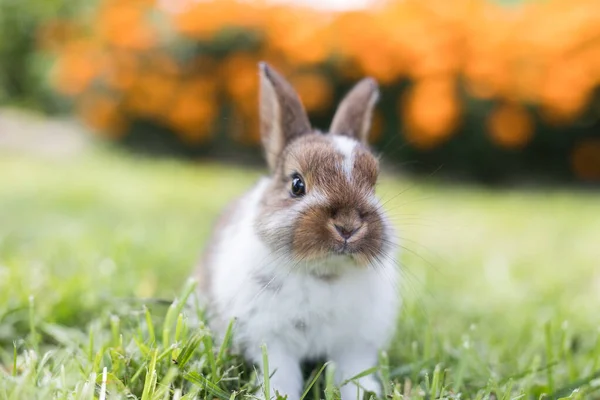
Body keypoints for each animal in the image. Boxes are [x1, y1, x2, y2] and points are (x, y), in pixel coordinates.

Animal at [192, 62, 400, 400]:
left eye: (374, 185)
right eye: (297, 184)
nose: (348, 226)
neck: (323, 273)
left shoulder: (355, 345)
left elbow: (354, 375)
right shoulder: (272, 339)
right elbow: (282, 374)